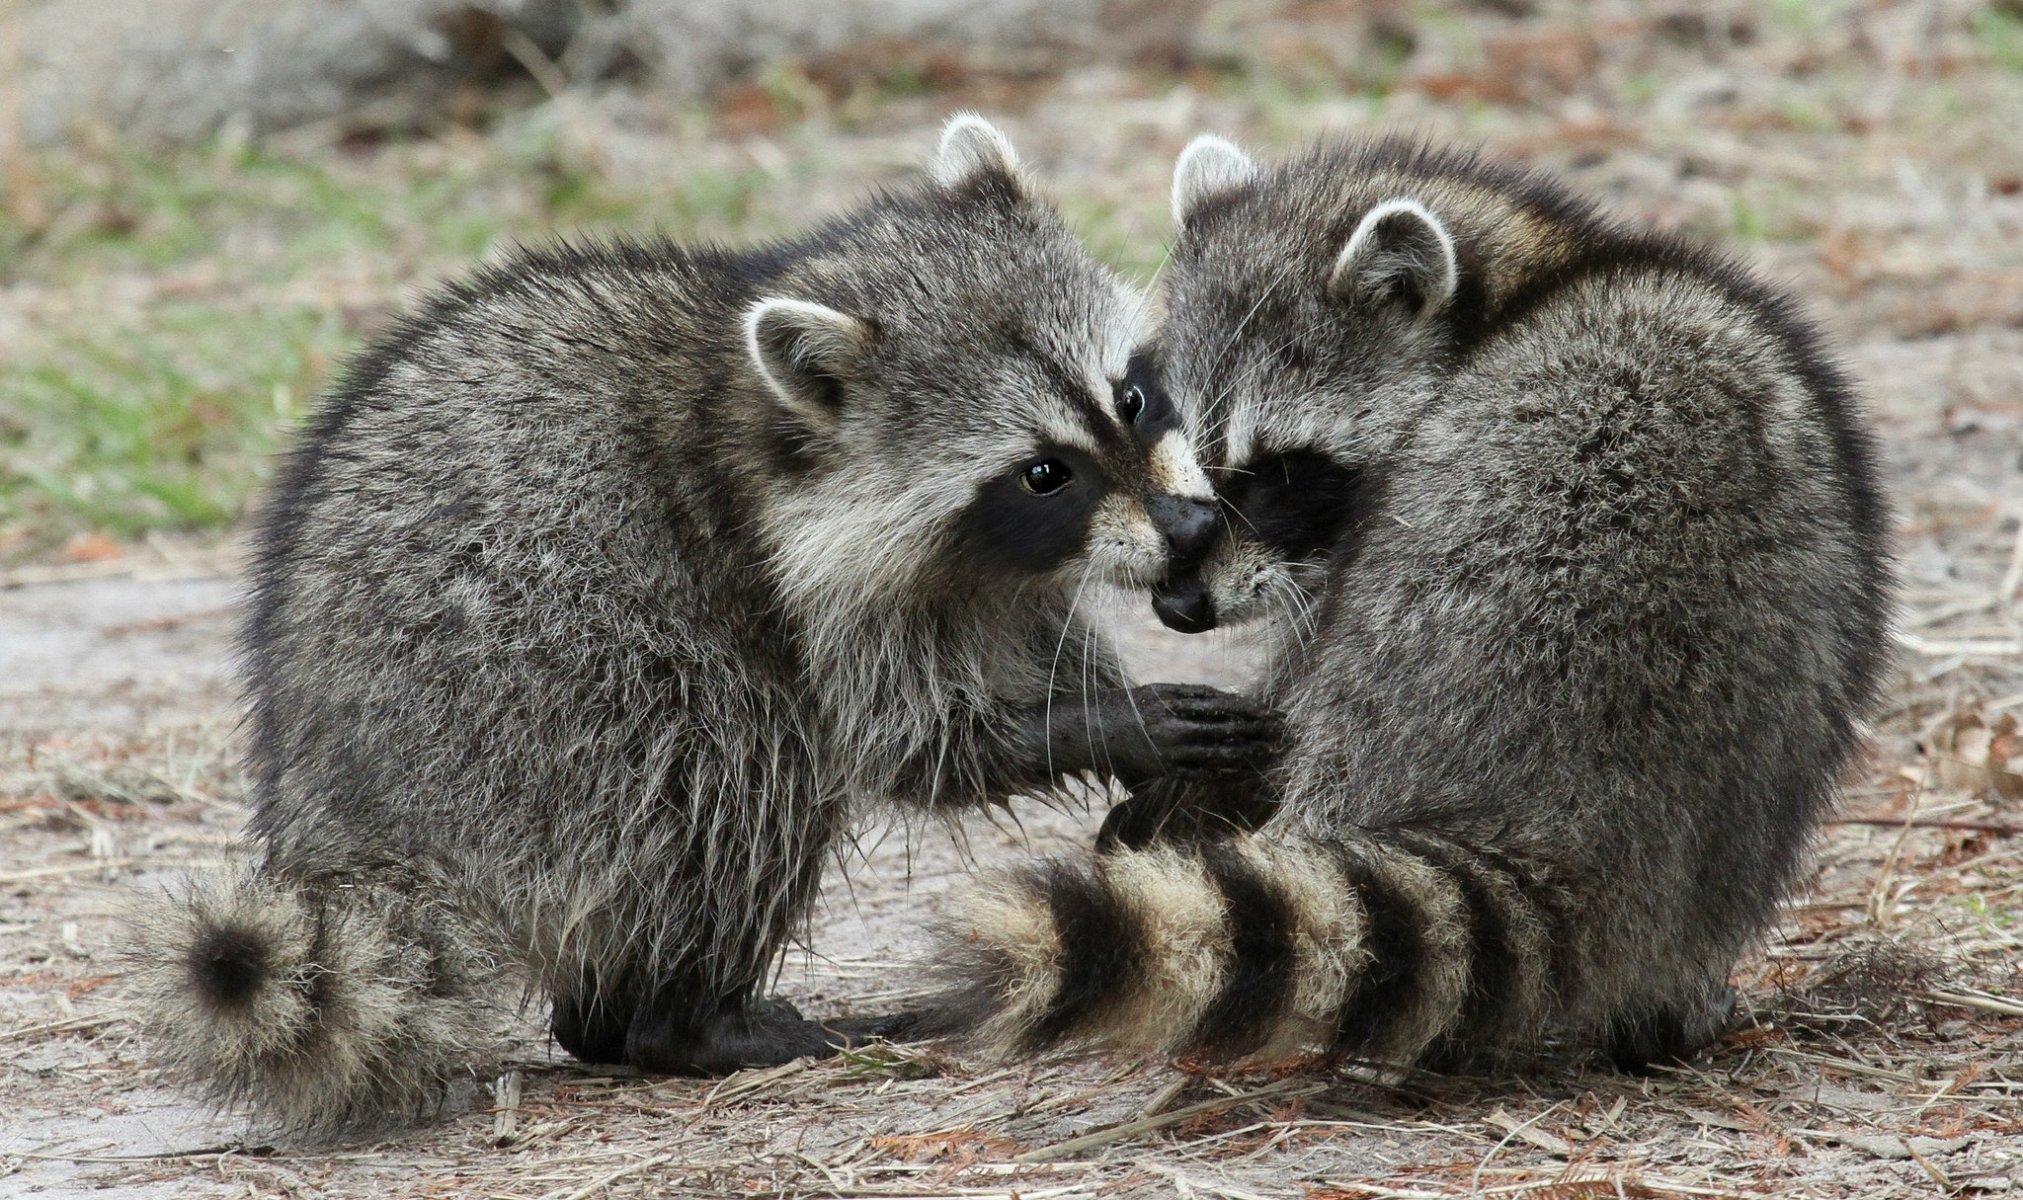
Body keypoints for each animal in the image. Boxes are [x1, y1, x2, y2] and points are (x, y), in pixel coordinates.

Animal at [126, 114, 1270, 1133]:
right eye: (1042, 472)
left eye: (1131, 398)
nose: (1190, 526)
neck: (763, 418)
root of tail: (342, 816)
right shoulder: (802, 584)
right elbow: (910, 745)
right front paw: (1116, 725)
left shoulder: (989, 573)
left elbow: (1033, 636)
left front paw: (1125, 731)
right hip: (552, 713)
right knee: (741, 768)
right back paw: (686, 1024)